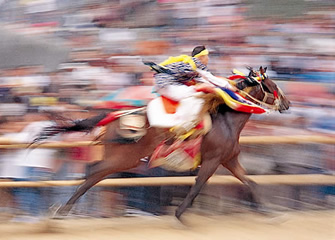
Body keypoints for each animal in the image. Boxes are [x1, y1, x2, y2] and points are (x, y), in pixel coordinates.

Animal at [34, 65, 292, 219]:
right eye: (272, 86)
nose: (287, 103)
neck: (226, 120)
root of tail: (114, 116)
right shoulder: (212, 160)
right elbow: (197, 187)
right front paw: (179, 214)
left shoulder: (228, 160)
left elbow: (251, 183)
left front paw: (269, 211)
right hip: (125, 158)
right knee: (94, 172)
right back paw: (63, 211)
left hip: (123, 159)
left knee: (94, 174)